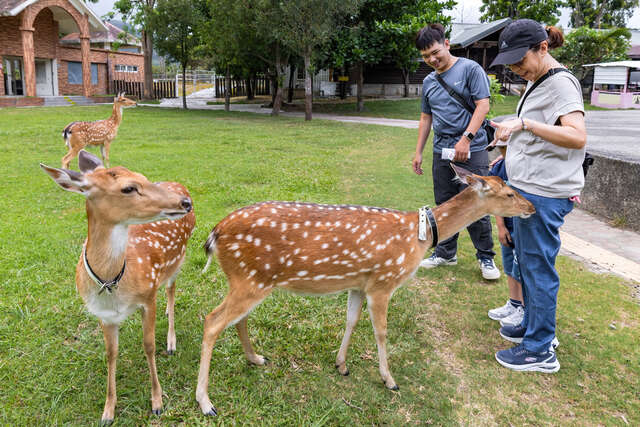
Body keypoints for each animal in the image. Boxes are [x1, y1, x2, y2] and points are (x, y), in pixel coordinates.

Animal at [40, 150, 195, 424]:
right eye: (129, 188)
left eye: (144, 177)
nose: (185, 202)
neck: (111, 284)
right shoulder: (103, 315)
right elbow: (111, 353)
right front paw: (108, 411)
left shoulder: (148, 297)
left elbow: (148, 345)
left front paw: (157, 401)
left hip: (178, 260)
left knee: (171, 290)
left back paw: (171, 341)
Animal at [195, 163, 536, 416]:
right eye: (509, 192)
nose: (531, 207)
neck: (419, 237)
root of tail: (214, 235)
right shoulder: (384, 280)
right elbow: (381, 331)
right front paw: (389, 380)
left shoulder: (360, 283)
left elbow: (351, 320)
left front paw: (341, 365)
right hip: (248, 278)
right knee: (212, 321)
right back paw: (206, 402)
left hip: (251, 280)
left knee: (236, 319)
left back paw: (256, 359)